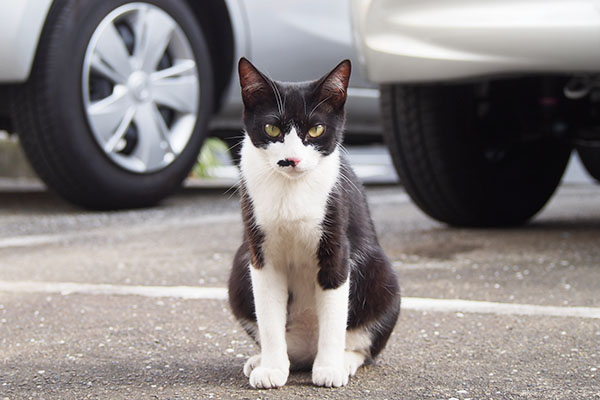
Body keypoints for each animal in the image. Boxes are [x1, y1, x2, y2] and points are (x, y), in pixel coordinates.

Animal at [230, 57, 404, 390]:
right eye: (272, 128)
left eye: (316, 129)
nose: (292, 160)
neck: (291, 190)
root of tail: (305, 352)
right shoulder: (260, 252)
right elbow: (268, 315)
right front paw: (271, 368)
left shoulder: (336, 243)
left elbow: (334, 313)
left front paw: (330, 368)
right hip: (238, 273)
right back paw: (265, 360)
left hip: (382, 275)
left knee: (362, 345)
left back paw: (344, 360)